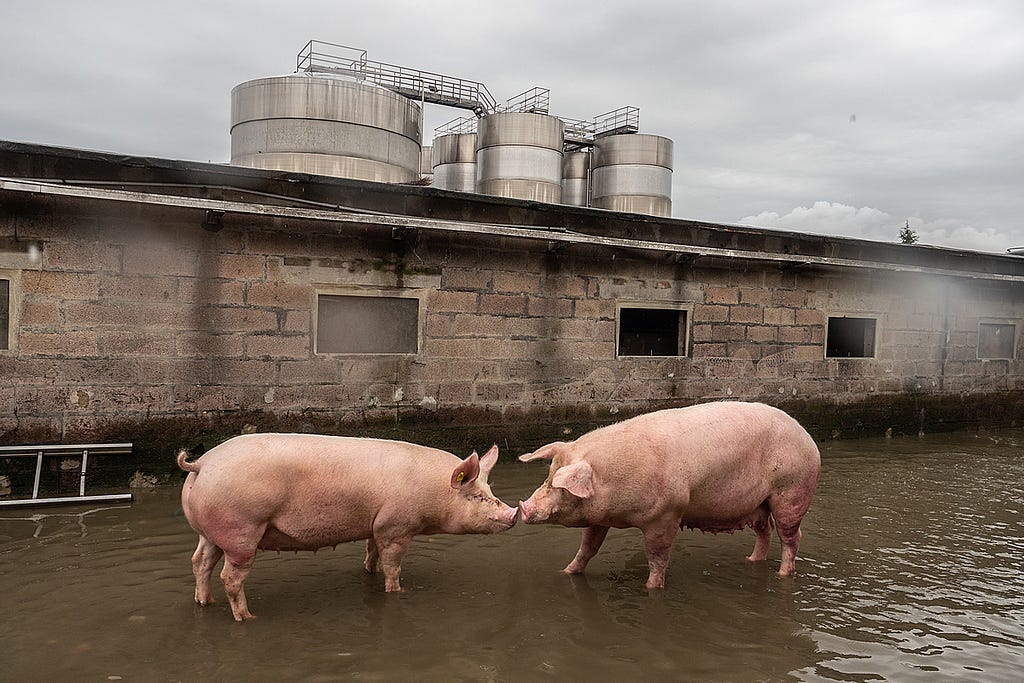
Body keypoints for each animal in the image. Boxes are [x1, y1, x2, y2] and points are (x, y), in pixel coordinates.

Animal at [178, 436, 520, 622]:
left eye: (490, 490)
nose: (514, 513)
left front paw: (369, 571)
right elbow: (393, 565)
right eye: (476, 496)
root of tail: (201, 464)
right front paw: (398, 590)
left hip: (210, 533)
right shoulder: (396, 526)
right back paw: (247, 617)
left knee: (200, 562)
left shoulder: (376, 524)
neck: (433, 492)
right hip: (241, 531)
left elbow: (371, 551)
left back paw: (204, 603)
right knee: (229, 577)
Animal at [516, 403, 819, 589]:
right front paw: (566, 572)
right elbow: (587, 549)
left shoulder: (667, 514)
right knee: (764, 531)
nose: (524, 506)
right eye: (547, 478)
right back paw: (751, 560)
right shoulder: (599, 518)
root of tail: (808, 437)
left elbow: (657, 557)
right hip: (759, 504)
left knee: (792, 537)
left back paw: (782, 574)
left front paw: (651, 587)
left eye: (561, 487)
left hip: (792, 492)